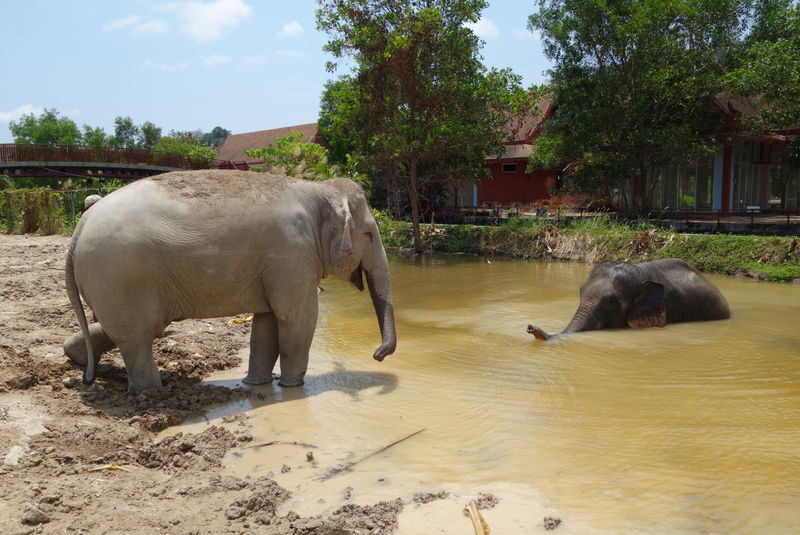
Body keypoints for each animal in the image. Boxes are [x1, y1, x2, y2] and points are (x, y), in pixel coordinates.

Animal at [64, 169, 397, 392]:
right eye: (369, 234)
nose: (378, 355)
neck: (318, 190)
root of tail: (81, 226)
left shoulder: (275, 266)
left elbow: (266, 323)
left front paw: (257, 384)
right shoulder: (292, 252)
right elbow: (297, 317)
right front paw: (292, 387)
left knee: (127, 329)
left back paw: (80, 359)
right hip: (119, 276)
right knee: (138, 335)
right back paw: (152, 392)